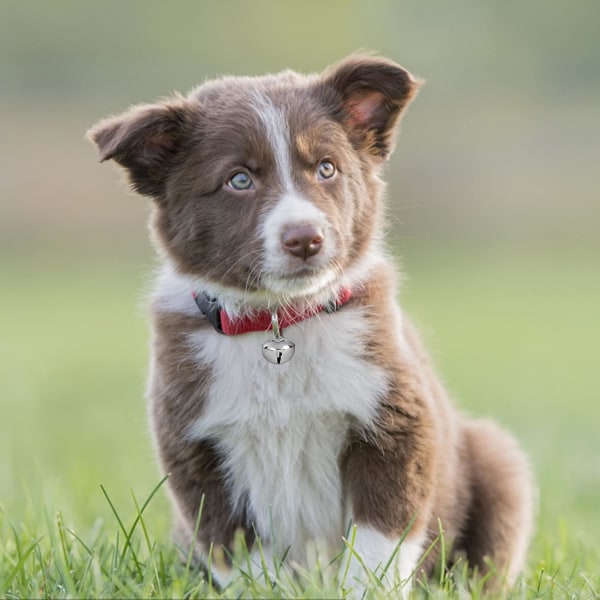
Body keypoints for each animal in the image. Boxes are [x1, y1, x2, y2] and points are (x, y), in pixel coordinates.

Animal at [88, 55, 528, 592]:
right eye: (239, 179)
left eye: (327, 168)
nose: (305, 238)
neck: (281, 321)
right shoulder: (198, 453)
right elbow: (242, 552)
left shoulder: (394, 427)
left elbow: (377, 543)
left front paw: (366, 591)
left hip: (497, 462)